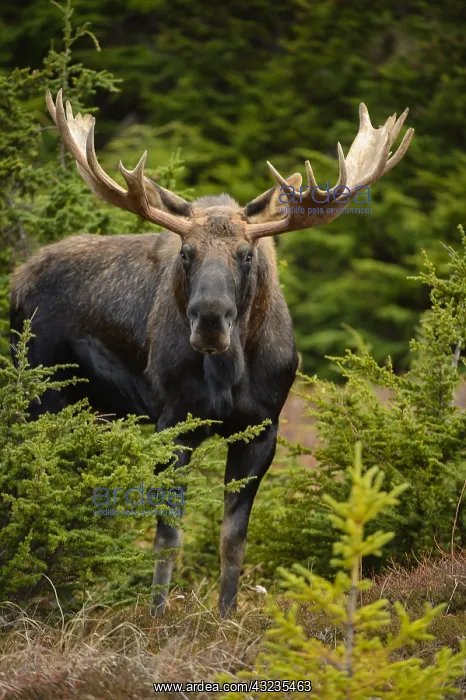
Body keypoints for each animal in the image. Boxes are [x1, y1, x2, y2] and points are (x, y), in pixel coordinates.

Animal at [9, 90, 413, 616]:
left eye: (247, 254)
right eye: (186, 252)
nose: (209, 319)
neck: (230, 372)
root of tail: (16, 282)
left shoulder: (262, 428)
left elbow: (232, 540)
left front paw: (226, 614)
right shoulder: (173, 421)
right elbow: (168, 536)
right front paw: (157, 615)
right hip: (40, 396)